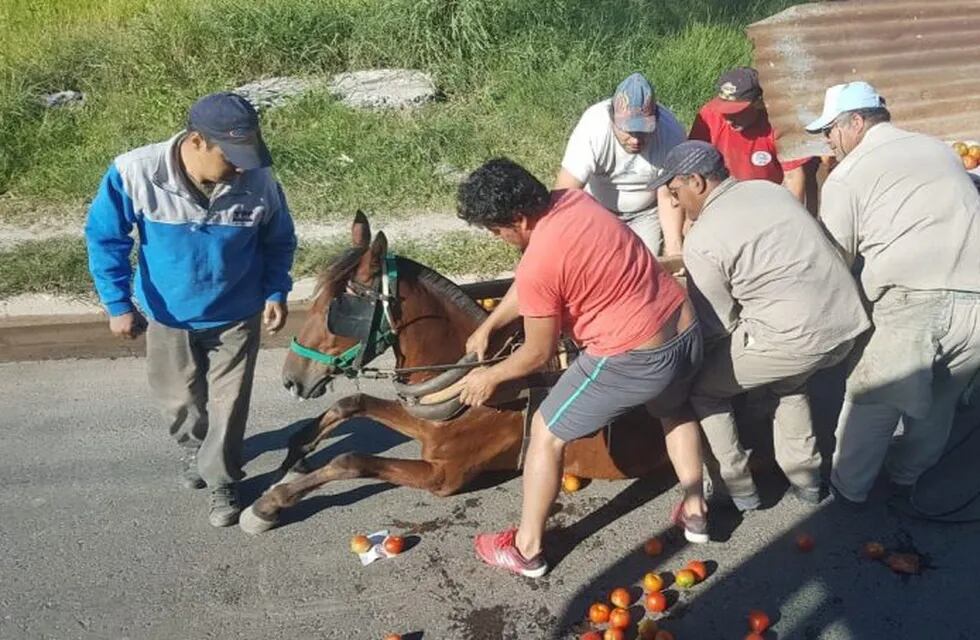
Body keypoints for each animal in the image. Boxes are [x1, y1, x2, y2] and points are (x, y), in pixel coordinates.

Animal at [237, 212, 672, 532]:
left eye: (336, 310)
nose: (292, 378)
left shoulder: (443, 475)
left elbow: (352, 459)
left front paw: (270, 504)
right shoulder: (423, 424)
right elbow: (352, 402)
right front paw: (295, 455)